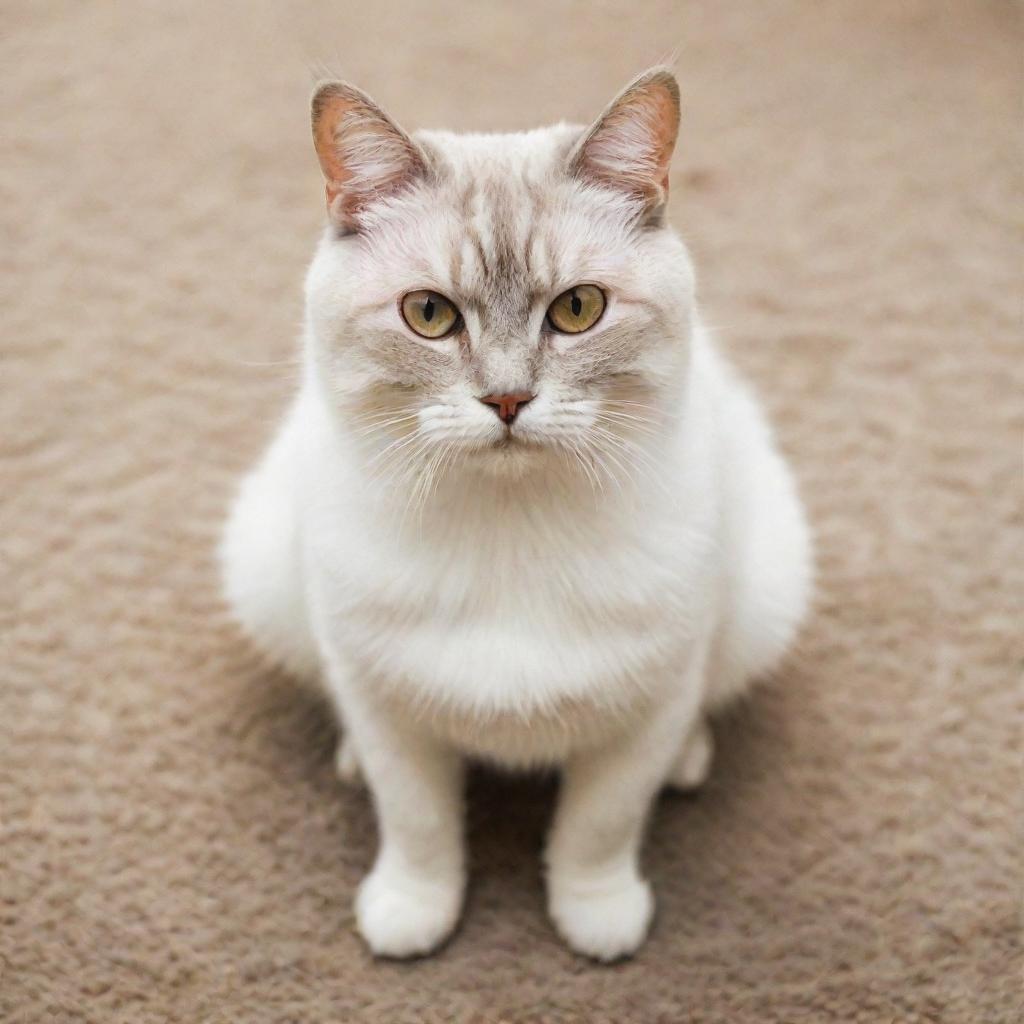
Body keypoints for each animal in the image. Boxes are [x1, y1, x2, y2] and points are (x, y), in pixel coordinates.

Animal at [220, 70, 811, 958]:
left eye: (579, 310)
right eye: (429, 315)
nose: (506, 401)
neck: (510, 527)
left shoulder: (648, 705)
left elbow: (599, 828)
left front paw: (597, 922)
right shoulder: (385, 703)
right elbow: (418, 824)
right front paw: (411, 915)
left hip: (765, 590)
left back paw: (689, 760)